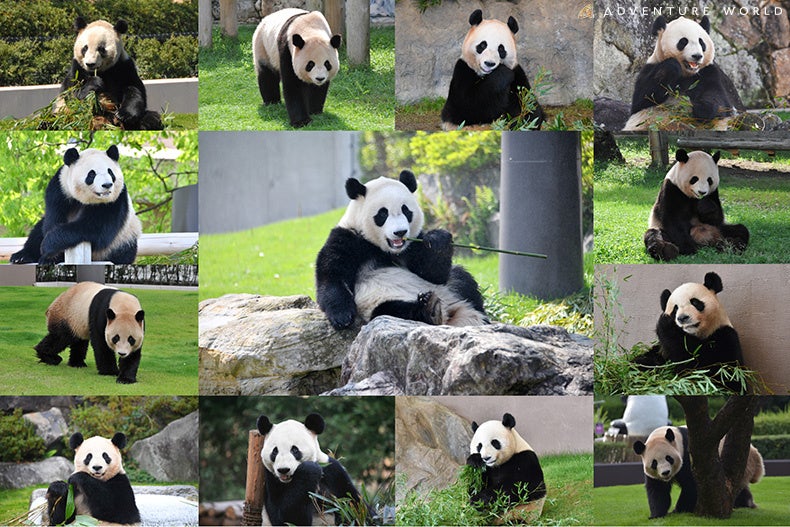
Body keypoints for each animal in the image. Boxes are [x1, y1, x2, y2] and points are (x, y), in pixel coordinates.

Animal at [8, 144, 142, 266]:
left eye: (110, 172)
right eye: (92, 174)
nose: (107, 185)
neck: (83, 200)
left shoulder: (115, 201)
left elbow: (94, 228)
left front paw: (50, 246)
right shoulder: (60, 189)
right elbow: (52, 221)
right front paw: (50, 257)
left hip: (122, 241)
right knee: (36, 232)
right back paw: (21, 256)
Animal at [316, 171, 488, 330]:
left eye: (406, 210)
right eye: (382, 213)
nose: (400, 232)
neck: (385, 250)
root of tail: (450, 314)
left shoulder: (414, 244)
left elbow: (433, 274)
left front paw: (438, 241)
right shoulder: (347, 238)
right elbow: (332, 275)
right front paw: (342, 317)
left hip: (450, 288)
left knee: (462, 280)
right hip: (378, 303)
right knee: (392, 310)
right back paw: (428, 308)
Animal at [636, 424, 764, 520]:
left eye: (669, 458)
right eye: (654, 463)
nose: (666, 472)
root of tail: (755, 452)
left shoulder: (690, 456)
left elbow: (691, 486)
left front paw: (679, 510)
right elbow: (658, 490)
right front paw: (656, 515)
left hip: (743, 464)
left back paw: (744, 504)